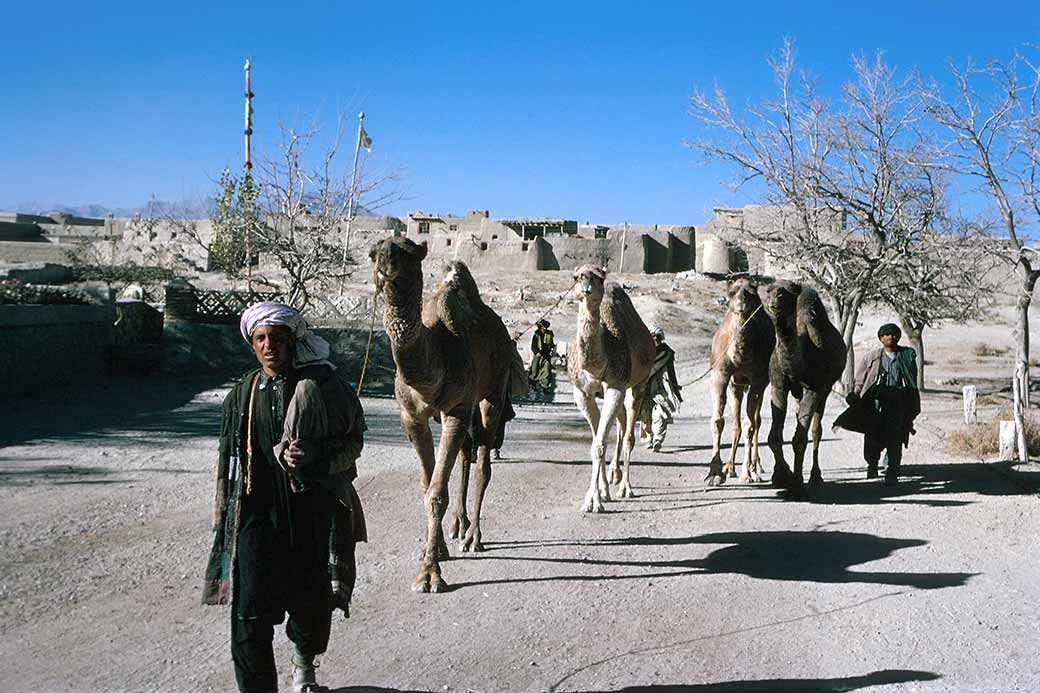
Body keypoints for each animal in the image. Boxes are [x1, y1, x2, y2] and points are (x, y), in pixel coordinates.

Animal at [368, 237, 513, 586]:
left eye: (409, 252)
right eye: (373, 252)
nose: (385, 259)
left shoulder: (456, 411)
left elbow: (436, 492)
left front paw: (430, 573)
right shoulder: (411, 419)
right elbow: (427, 483)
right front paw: (431, 550)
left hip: (493, 391)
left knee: (482, 463)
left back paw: (473, 537)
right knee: (465, 455)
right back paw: (458, 525)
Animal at [569, 263, 648, 507]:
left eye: (599, 276)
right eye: (575, 277)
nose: (586, 283)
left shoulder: (615, 386)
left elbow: (599, 444)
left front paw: (592, 502)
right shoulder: (582, 393)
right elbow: (597, 442)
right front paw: (601, 493)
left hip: (638, 384)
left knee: (629, 433)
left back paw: (625, 487)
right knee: (621, 425)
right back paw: (614, 475)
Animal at [703, 278, 777, 482]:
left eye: (751, 292)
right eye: (731, 293)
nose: (742, 302)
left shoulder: (758, 380)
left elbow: (750, 425)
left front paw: (747, 473)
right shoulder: (719, 374)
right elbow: (718, 421)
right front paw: (715, 473)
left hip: (759, 384)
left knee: (756, 422)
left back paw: (755, 468)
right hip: (736, 385)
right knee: (736, 423)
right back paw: (730, 468)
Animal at [761, 278, 848, 489]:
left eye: (789, 291)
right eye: (769, 289)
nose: (776, 298)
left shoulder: (815, 388)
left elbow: (800, 439)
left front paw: (796, 483)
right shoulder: (778, 386)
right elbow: (774, 438)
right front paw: (781, 476)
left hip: (825, 389)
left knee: (816, 430)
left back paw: (815, 477)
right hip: (797, 393)